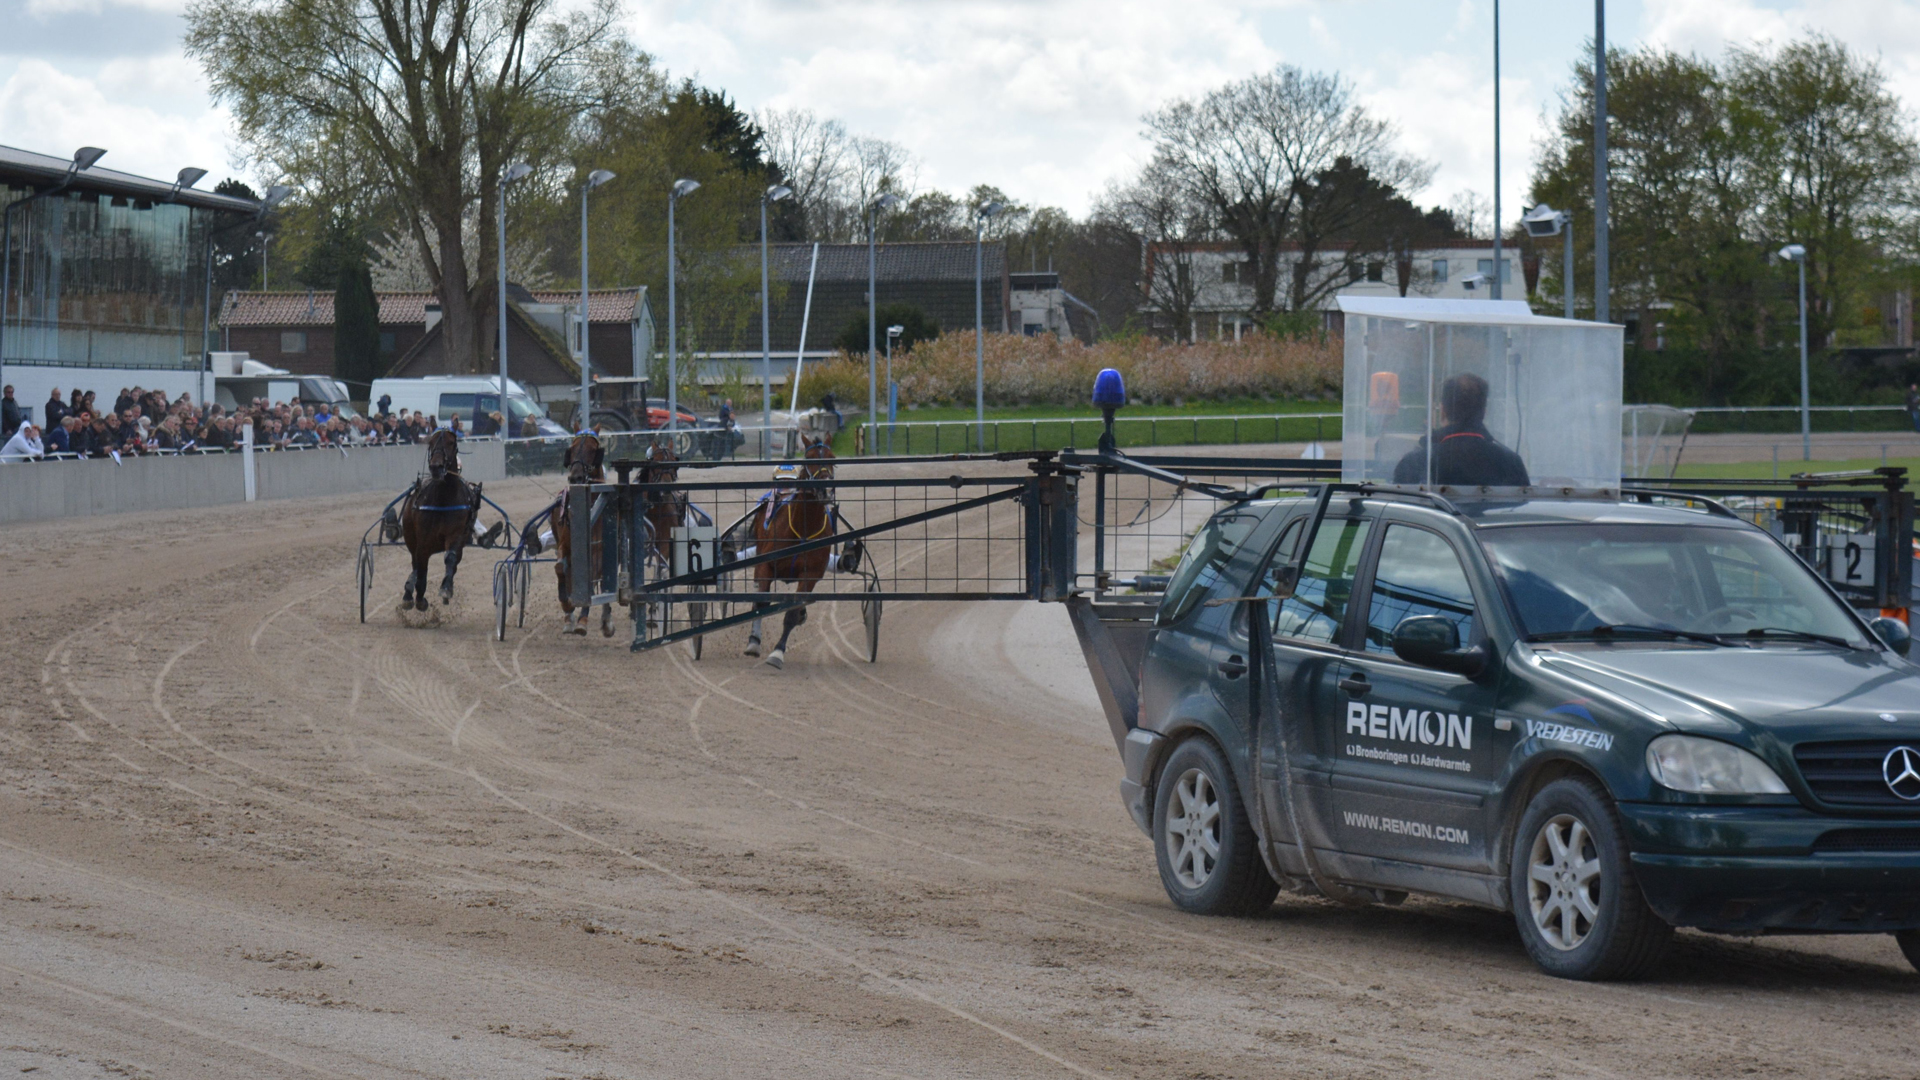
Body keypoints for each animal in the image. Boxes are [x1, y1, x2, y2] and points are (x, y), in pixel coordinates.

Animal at [399, 428, 480, 614]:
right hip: (410, 536)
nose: (436, 467)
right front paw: (419, 598)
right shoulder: (423, 540)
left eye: (451, 442)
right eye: (430, 442)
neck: (444, 499)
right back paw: (408, 594)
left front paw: (446, 589)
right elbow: (421, 568)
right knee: (415, 563)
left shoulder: (457, 535)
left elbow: (451, 558)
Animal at [556, 428, 614, 630]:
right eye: (572, 448)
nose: (576, 477)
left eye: (592, 449)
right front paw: (567, 604)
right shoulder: (565, 544)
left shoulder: (598, 551)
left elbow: (592, 577)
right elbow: (560, 567)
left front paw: (583, 619)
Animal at [741, 434, 833, 664]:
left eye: (833, 458)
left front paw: (777, 653)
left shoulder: (810, 575)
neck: (802, 529)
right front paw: (754, 643)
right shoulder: (765, 566)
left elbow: (792, 613)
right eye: (809, 458)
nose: (826, 489)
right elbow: (761, 605)